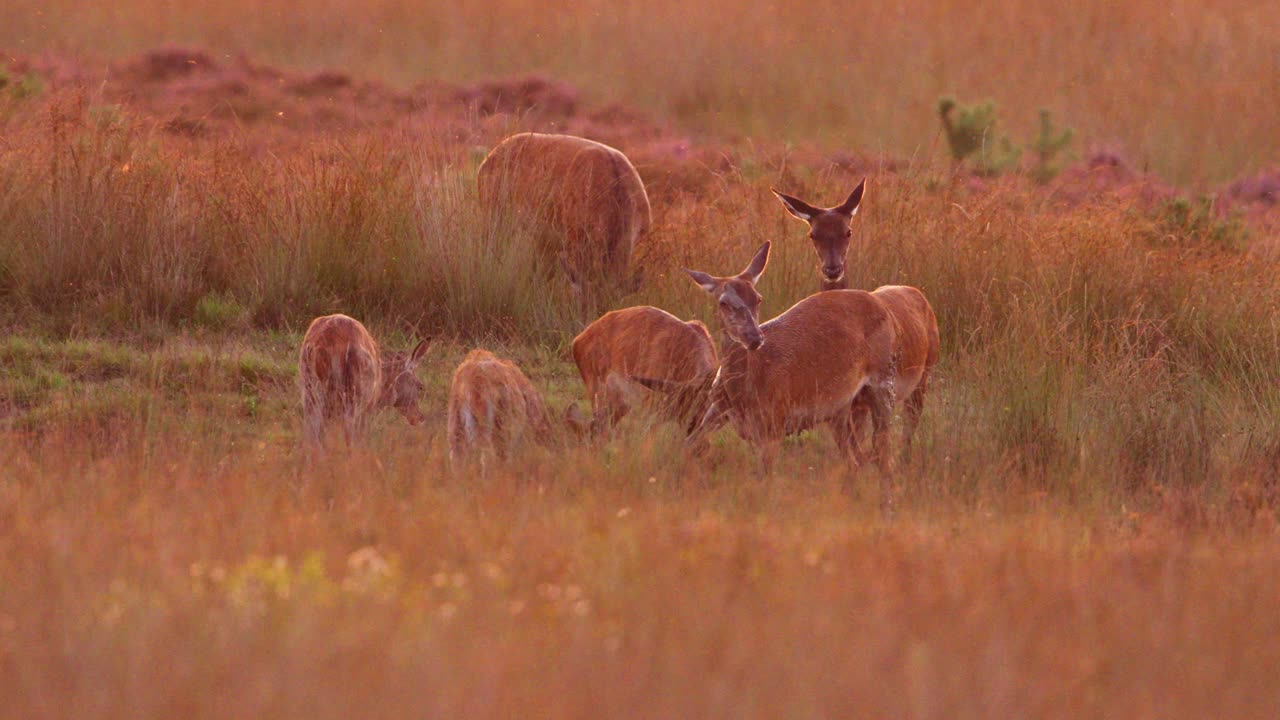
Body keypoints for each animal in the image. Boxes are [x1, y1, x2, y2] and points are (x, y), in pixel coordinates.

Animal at [298, 314, 430, 450]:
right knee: (348, 433)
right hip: (353, 394)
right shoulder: (367, 408)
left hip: (310, 390)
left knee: (311, 433)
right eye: (420, 386)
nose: (420, 417)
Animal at [569, 306, 718, 436]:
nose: (692, 428)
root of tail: (578, 340)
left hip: (618, 403)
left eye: (705, 404)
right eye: (683, 407)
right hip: (598, 393)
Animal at [662, 241, 899, 480]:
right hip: (839, 407)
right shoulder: (717, 409)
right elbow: (687, 445)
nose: (754, 337)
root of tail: (881, 303)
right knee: (856, 460)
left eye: (757, 298)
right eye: (723, 302)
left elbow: (764, 477)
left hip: (883, 379)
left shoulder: (774, 423)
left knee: (883, 452)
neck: (743, 392)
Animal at [772, 179, 940, 456]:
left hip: (924, 374)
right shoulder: (846, 405)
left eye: (848, 231)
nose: (832, 268)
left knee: (908, 430)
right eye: (813, 234)